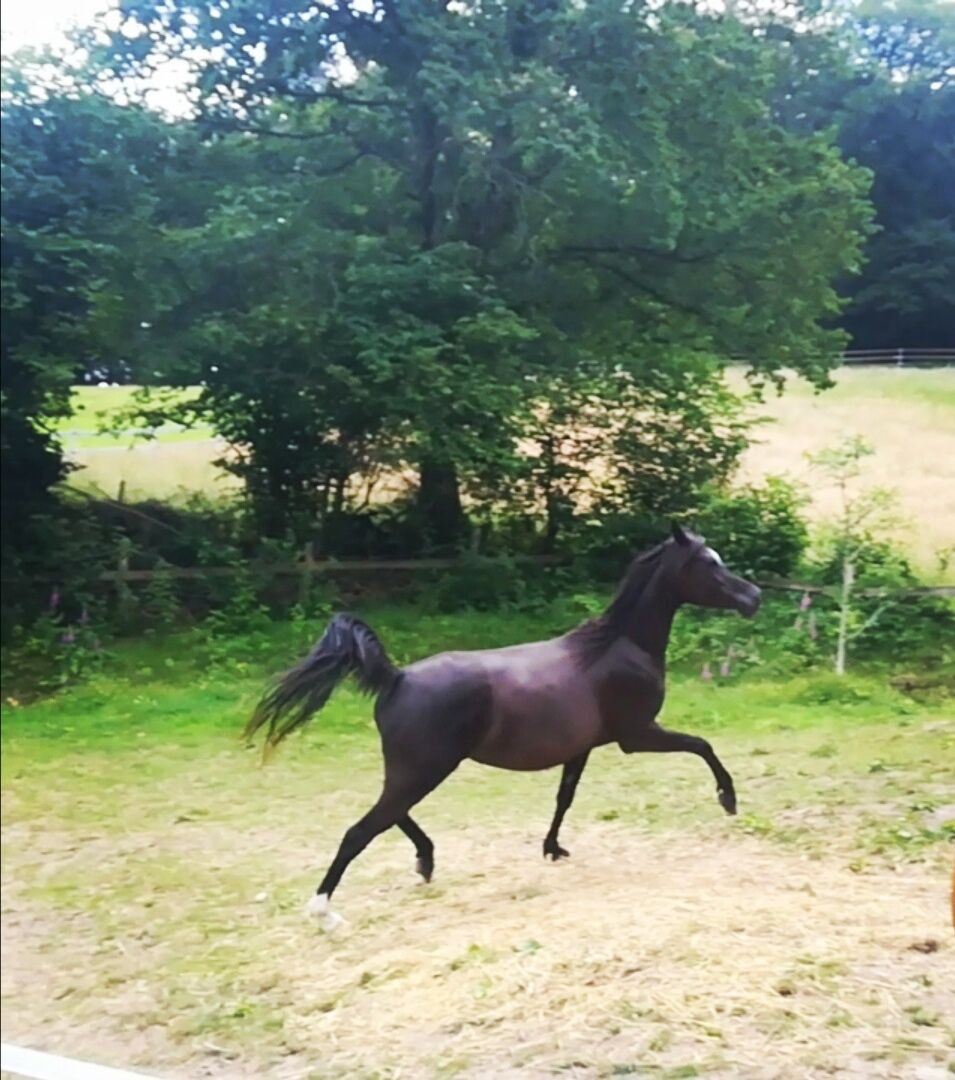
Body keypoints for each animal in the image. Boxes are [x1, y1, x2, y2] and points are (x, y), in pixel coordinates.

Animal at [245, 524, 761, 929]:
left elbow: (565, 796)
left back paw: (425, 859)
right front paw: (729, 798)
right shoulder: (637, 735)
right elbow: (702, 745)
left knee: (389, 814)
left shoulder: (583, 747)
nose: (754, 597)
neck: (616, 648)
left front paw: (553, 848)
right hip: (427, 768)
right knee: (363, 828)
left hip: (413, 769)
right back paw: (325, 912)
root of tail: (397, 678)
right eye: (709, 564)